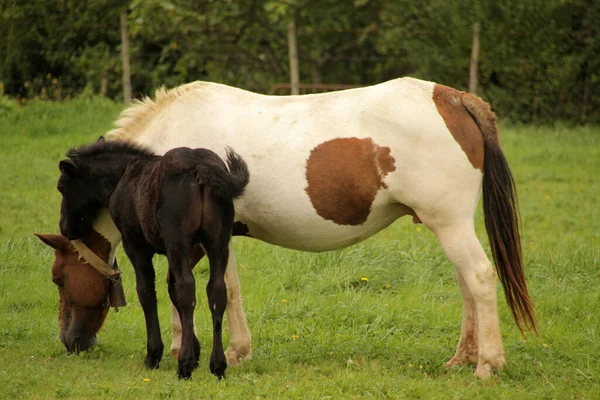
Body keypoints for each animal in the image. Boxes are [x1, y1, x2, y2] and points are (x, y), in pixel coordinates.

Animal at [72, 76, 536, 376]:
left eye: (62, 278)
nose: (73, 343)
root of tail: (453, 98)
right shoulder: (215, 239)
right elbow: (215, 289)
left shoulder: (195, 241)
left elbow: (197, 290)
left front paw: (201, 352)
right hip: (449, 226)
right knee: (467, 286)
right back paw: (463, 358)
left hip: (450, 224)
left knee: (479, 278)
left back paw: (488, 364)